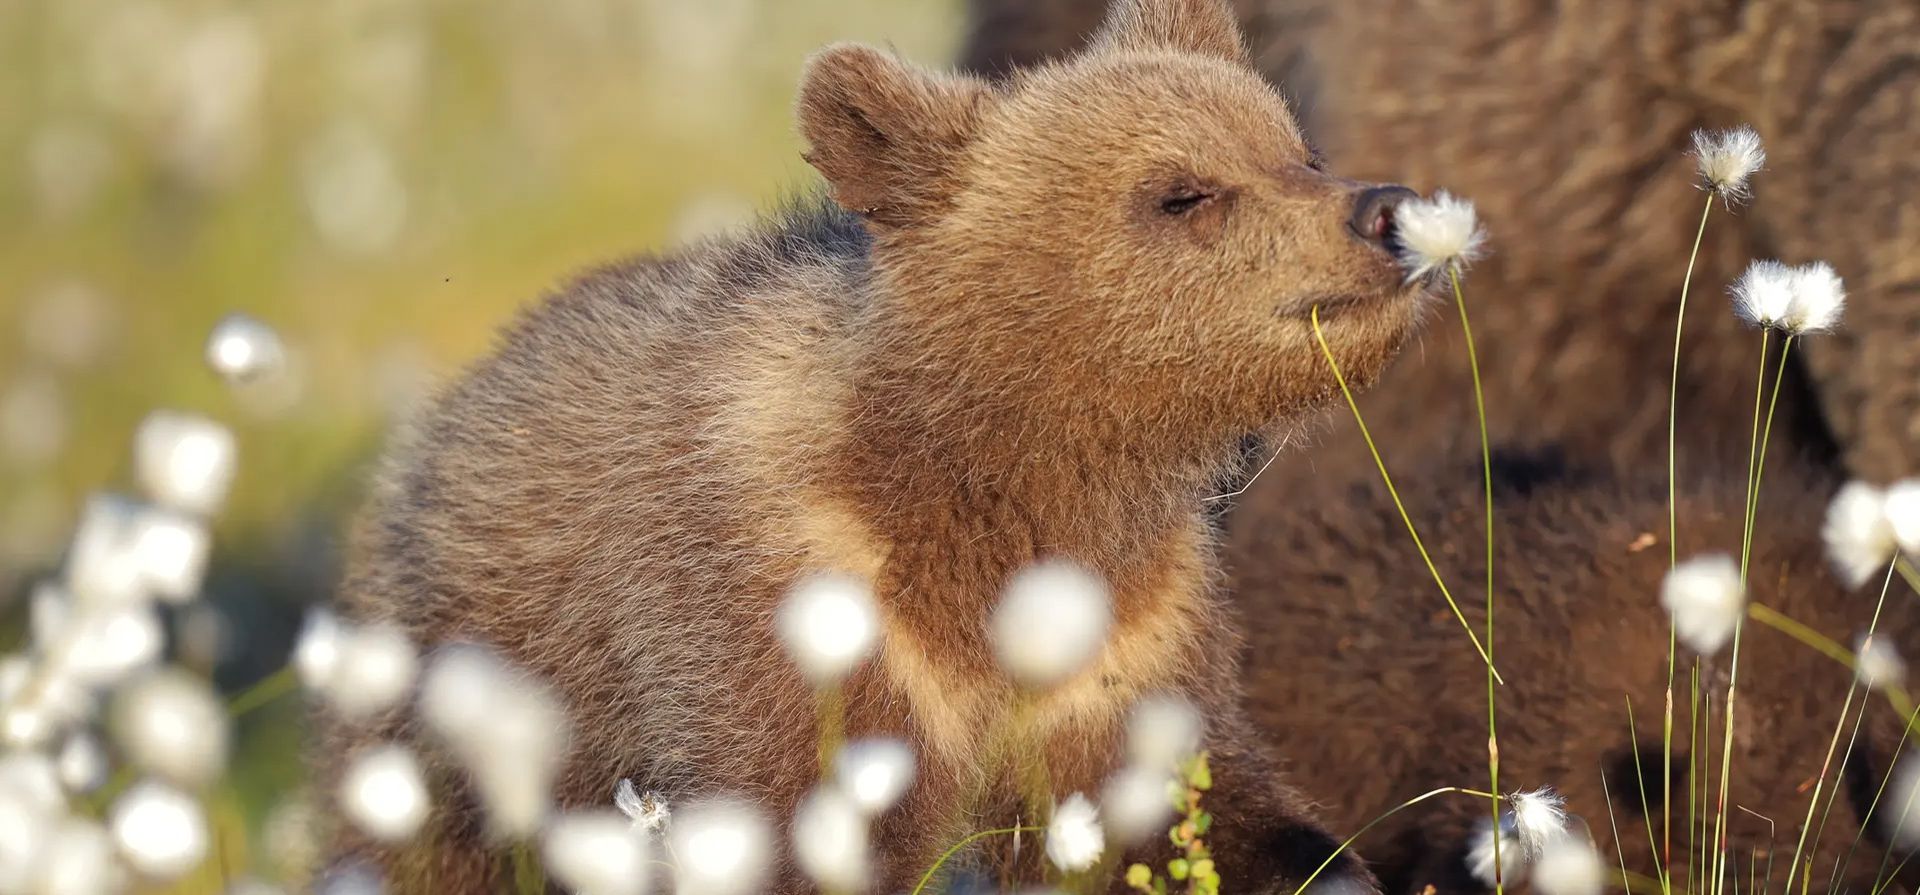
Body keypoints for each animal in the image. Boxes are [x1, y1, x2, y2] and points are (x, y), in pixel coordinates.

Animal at [322, 0, 1441, 890]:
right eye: (1183, 191)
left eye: (1293, 145)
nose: (1384, 210)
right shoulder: (792, 617)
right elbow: (792, 823)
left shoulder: (1127, 634)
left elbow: (1202, 807)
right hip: (459, 709)